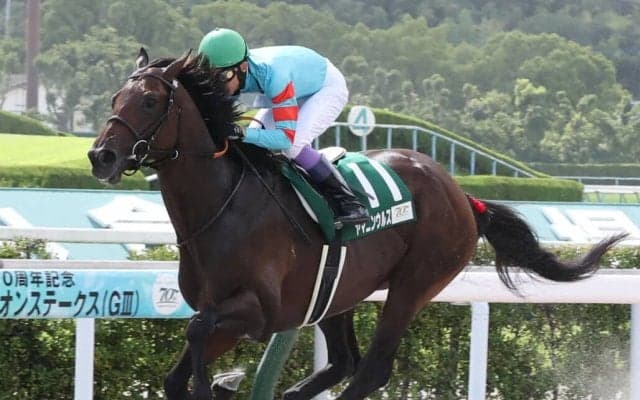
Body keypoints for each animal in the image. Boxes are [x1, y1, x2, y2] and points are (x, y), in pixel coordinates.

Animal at [88, 49, 626, 400]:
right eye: (115, 98)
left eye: (150, 102)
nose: (101, 156)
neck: (223, 206)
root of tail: (459, 192)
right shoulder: (226, 309)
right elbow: (180, 365)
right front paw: (215, 382)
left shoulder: (259, 312)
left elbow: (197, 332)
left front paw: (216, 383)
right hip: (337, 291)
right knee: (342, 362)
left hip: (415, 284)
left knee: (371, 371)